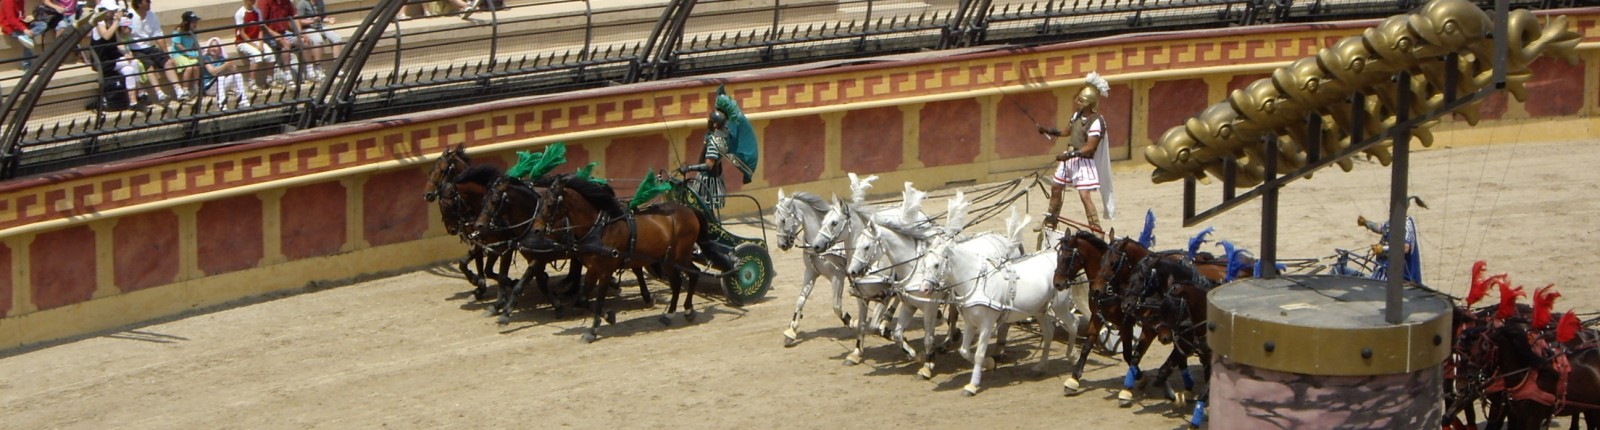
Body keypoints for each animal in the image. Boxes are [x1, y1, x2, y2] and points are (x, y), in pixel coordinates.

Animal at [524, 175, 707, 340]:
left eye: (549, 205)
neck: (599, 228)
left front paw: (593, 330)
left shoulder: (605, 271)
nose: (536, 230)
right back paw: (674, 313)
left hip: (679, 256)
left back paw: (685, 311)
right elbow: (583, 298)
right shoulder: (593, 269)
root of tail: (689, 210)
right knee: (681, 280)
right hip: (669, 259)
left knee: (691, 275)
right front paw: (608, 316)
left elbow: (599, 299)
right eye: (540, 203)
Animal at [771, 187, 857, 345]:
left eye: (784, 220)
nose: (782, 245)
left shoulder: (837, 276)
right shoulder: (810, 272)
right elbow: (800, 300)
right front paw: (791, 330)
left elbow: (836, 306)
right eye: (774, 218)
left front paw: (850, 321)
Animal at [953, 244, 1081, 394]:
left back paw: (1073, 356)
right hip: (1040, 310)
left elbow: (979, 353)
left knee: (1073, 324)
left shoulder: (987, 325)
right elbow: (964, 351)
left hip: (1059, 305)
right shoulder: (970, 323)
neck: (979, 284)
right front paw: (989, 363)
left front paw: (972, 385)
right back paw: (1041, 367)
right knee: (1049, 331)